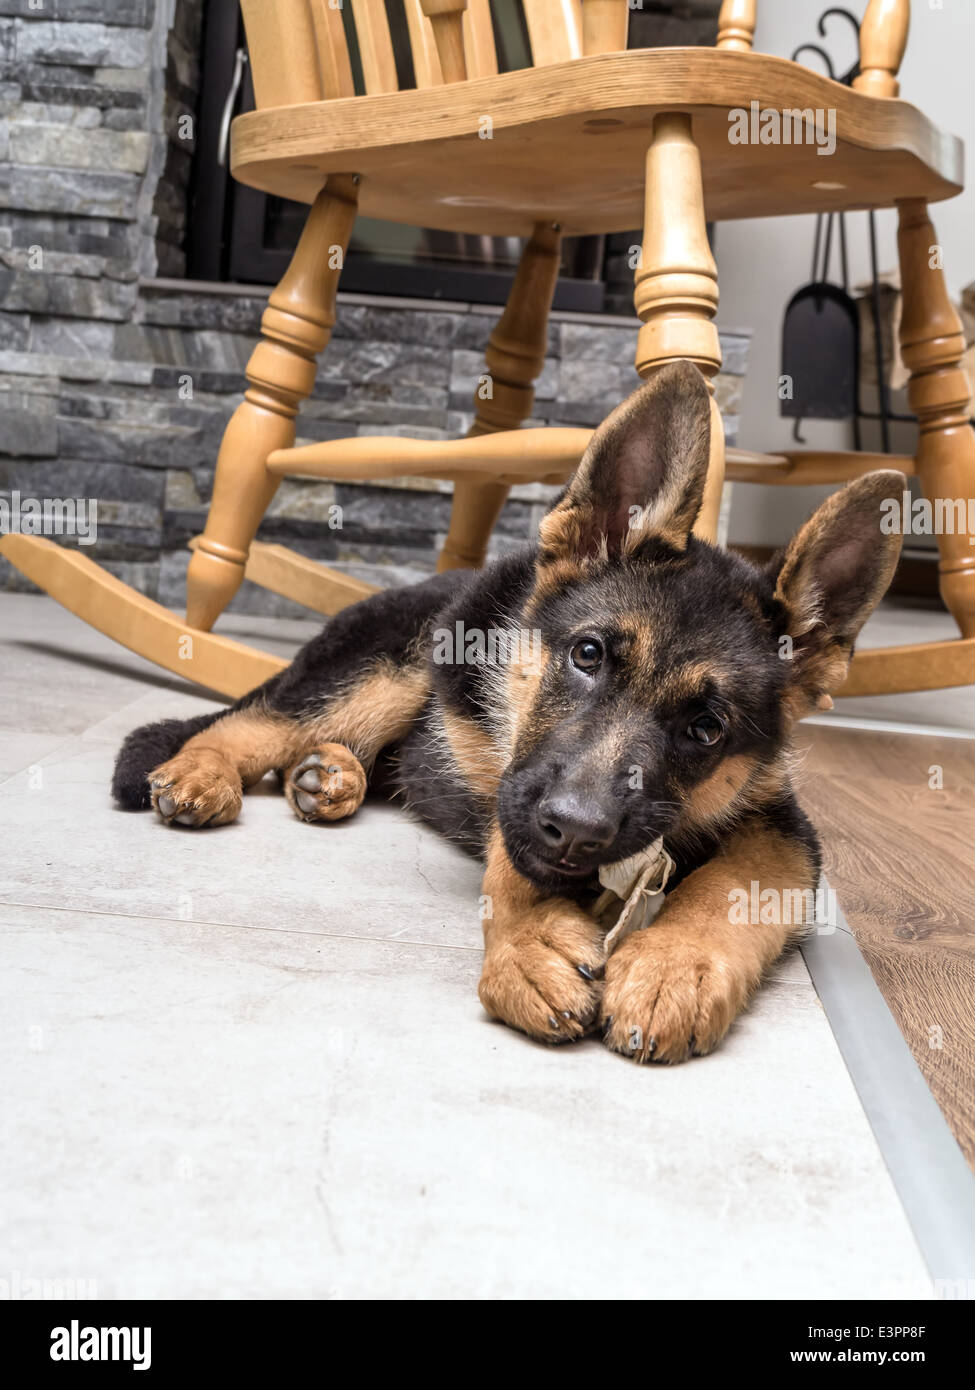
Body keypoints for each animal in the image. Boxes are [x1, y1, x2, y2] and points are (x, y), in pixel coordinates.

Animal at [111, 361, 895, 1061]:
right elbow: (512, 845)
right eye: (587, 655)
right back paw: (205, 773)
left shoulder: (782, 828)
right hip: (402, 660)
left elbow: (733, 886)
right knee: (255, 722)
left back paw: (329, 776)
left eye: (707, 730)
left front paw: (674, 965)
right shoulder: (513, 782)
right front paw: (532, 940)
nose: (575, 832)